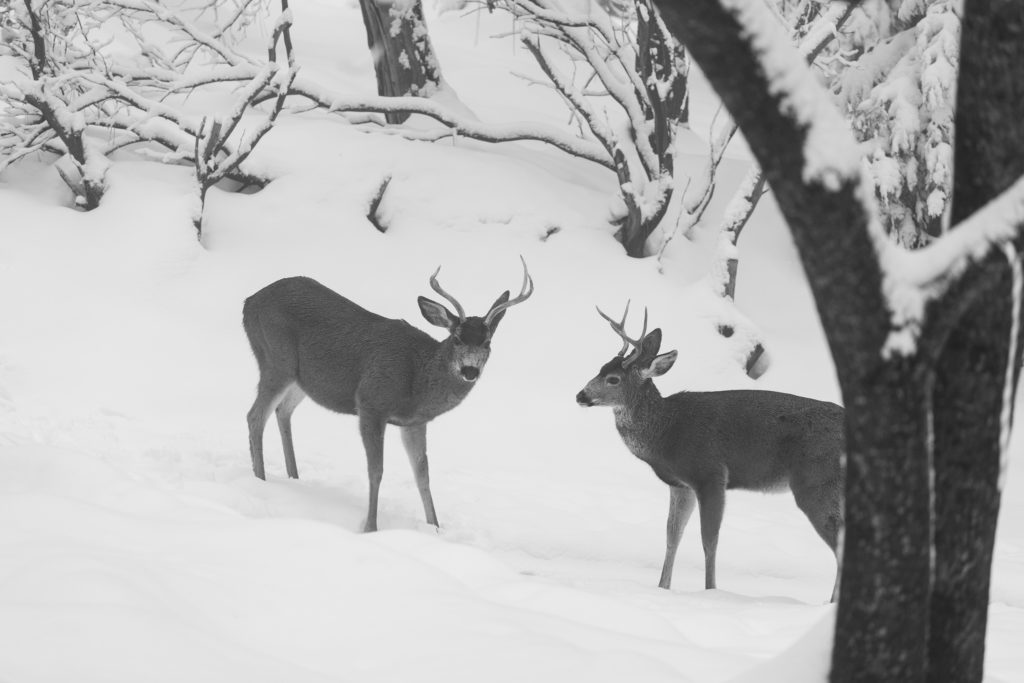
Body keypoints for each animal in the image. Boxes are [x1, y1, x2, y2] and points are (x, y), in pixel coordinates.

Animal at [240, 259, 536, 532]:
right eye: (457, 338)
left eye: (487, 342)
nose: (470, 370)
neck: (417, 380)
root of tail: (248, 302)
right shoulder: (370, 403)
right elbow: (376, 470)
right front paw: (370, 526)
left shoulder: (414, 422)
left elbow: (422, 475)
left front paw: (435, 528)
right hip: (276, 359)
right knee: (255, 416)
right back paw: (260, 479)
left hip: (301, 379)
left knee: (282, 411)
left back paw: (293, 478)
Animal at [577, 301, 847, 602]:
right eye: (600, 369)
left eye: (613, 379)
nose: (581, 395)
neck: (666, 432)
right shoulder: (680, 484)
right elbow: (672, 535)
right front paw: (662, 588)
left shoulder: (711, 474)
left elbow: (709, 540)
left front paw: (711, 592)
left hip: (816, 482)